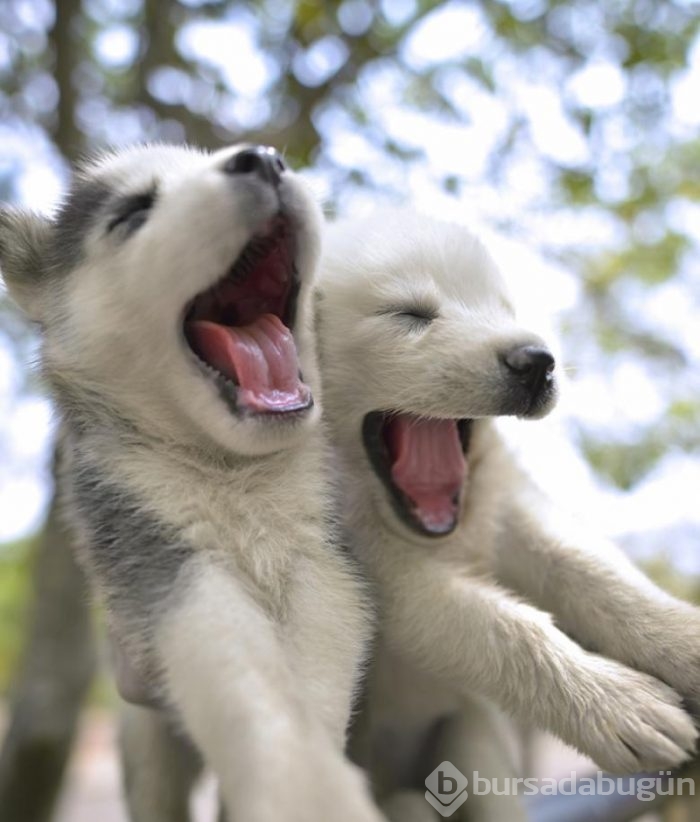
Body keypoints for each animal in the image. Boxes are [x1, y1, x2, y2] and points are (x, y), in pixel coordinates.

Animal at [0, 143, 382, 822]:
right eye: (133, 212)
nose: (266, 158)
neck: (232, 471)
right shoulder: (160, 556)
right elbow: (238, 673)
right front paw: (301, 785)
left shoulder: (326, 558)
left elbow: (317, 668)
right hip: (144, 741)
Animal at [318, 208, 700, 822]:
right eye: (409, 314)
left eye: (505, 311)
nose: (536, 361)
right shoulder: (372, 566)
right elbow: (496, 624)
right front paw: (622, 707)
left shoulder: (506, 504)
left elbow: (588, 569)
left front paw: (684, 640)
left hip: (469, 734)